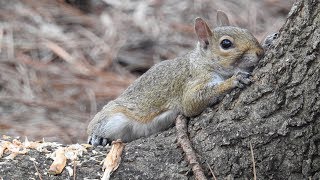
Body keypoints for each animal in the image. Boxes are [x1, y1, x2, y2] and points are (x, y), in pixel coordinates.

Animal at [86, 10, 264, 146]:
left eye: (247, 31)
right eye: (226, 44)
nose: (260, 52)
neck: (202, 62)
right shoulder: (191, 82)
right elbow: (191, 102)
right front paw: (234, 80)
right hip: (113, 118)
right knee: (95, 126)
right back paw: (96, 137)